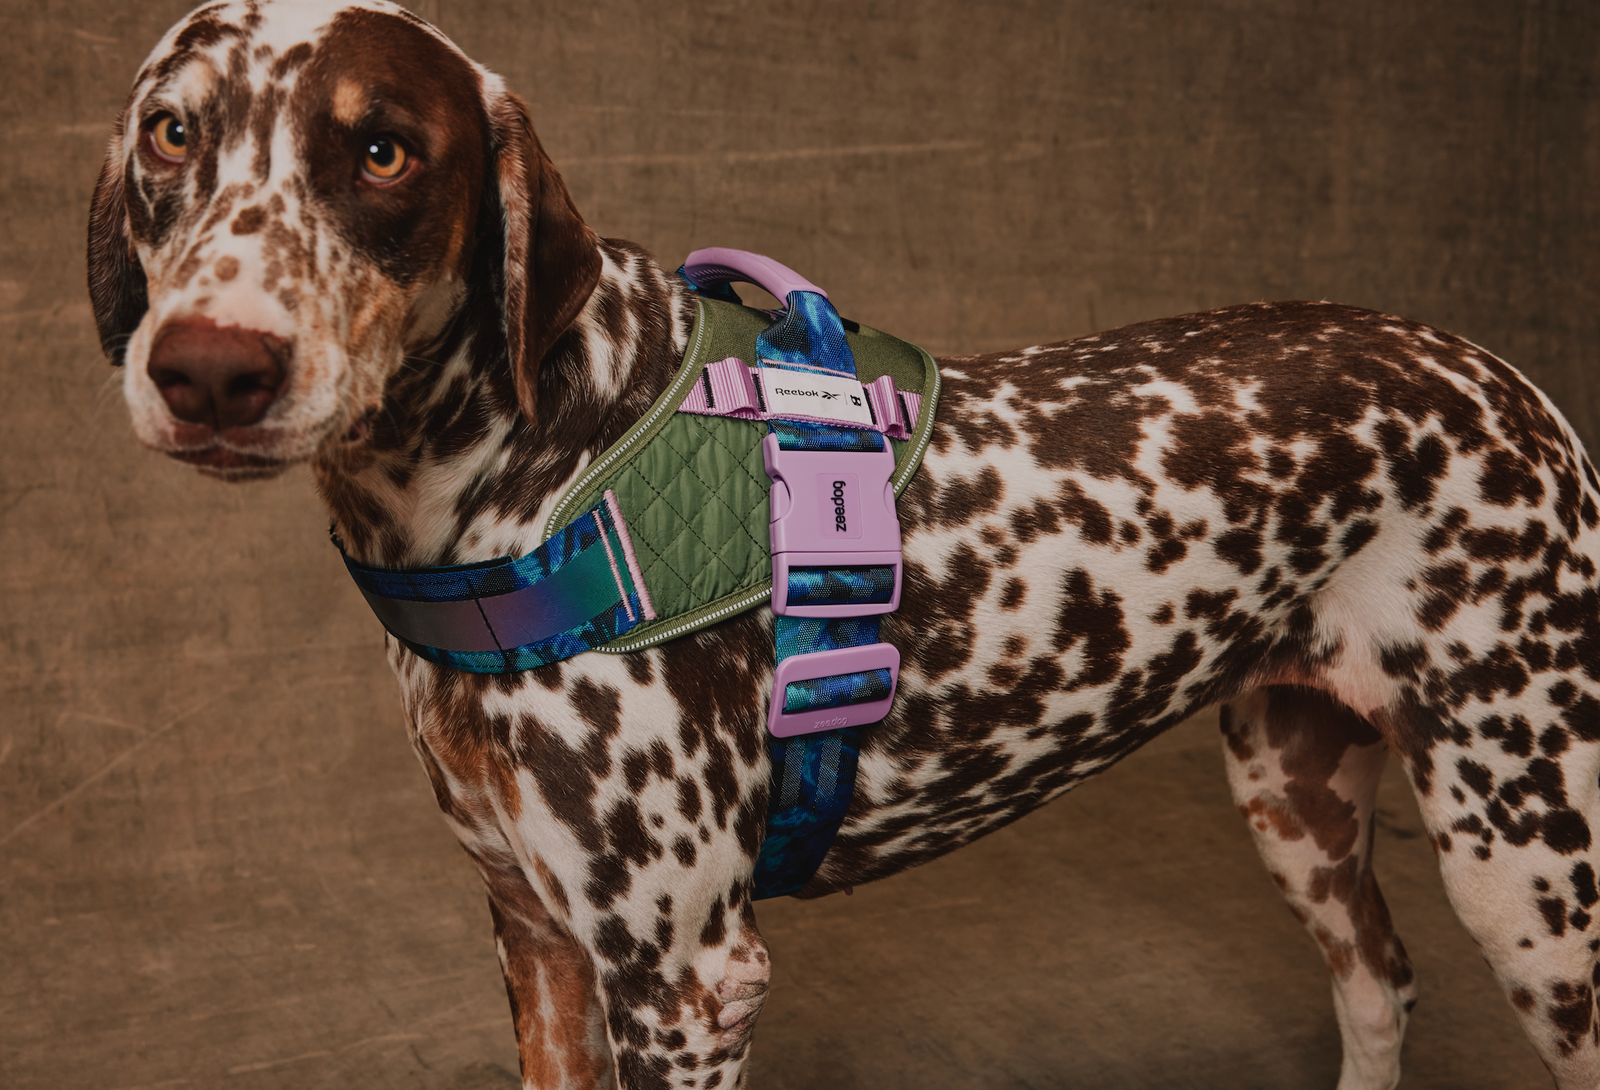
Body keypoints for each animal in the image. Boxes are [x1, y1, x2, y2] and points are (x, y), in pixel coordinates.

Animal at [89, 2, 1600, 1087]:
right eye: (170, 131)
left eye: (385, 149)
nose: (210, 367)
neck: (543, 473)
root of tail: (1506, 380)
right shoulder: (541, 943)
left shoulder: (686, 981)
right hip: (1298, 796)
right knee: (1378, 986)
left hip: (1530, 869)